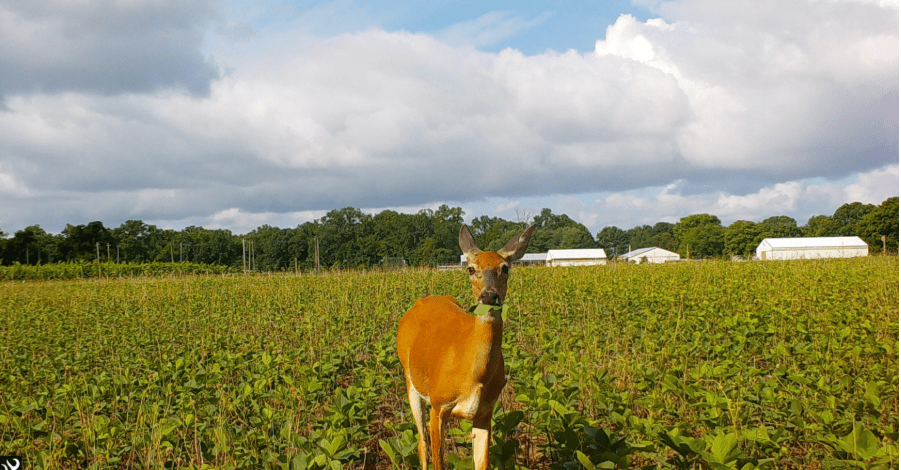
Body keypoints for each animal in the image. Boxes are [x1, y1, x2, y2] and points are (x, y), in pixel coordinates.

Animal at [396, 223, 536, 470]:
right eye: (471, 269)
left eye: (505, 268)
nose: (489, 296)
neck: (474, 374)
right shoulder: (438, 405)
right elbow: (437, 461)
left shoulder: (485, 412)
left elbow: (482, 463)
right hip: (410, 380)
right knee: (422, 443)